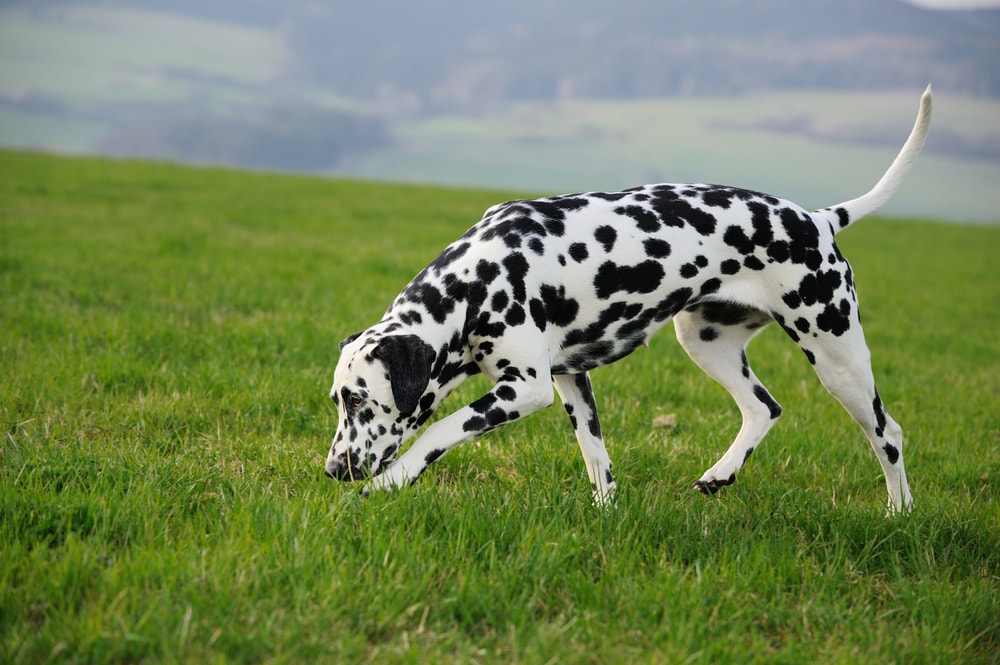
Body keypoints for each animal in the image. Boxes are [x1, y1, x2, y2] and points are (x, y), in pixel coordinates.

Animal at [326, 87, 928, 512]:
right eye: (337, 399)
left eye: (358, 400)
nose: (334, 469)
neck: (478, 281)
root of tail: (818, 219)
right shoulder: (571, 379)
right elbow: (597, 459)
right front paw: (605, 512)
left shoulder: (526, 388)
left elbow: (441, 430)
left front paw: (392, 481)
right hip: (705, 341)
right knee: (764, 407)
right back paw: (721, 474)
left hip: (837, 357)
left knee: (889, 434)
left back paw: (899, 514)